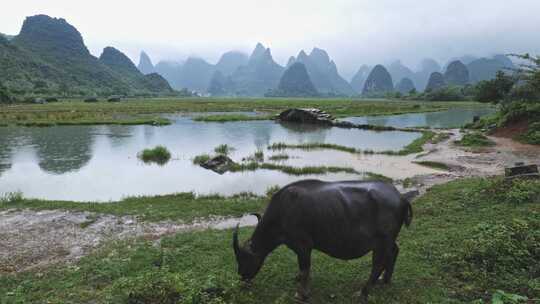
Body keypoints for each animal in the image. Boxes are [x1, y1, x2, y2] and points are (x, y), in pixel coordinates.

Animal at [232, 179, 414, 302]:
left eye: (243, 257)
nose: (242, 276)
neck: (283, 212)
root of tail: (401, 197)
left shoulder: (303, 246)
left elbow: (305, 268)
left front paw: (302, 293)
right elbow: (303, 270)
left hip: (381, 242)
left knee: (378, 264)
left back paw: (363, 292)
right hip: (389, 241)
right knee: (394, 252)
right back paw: (385, 280)